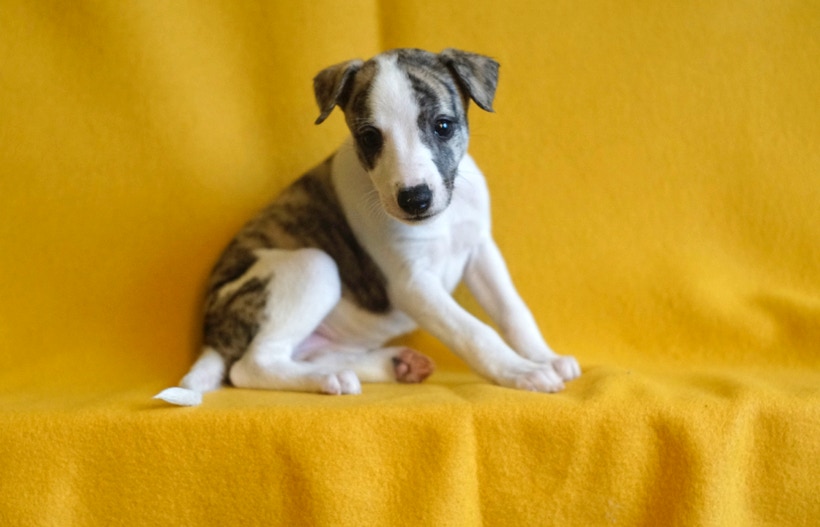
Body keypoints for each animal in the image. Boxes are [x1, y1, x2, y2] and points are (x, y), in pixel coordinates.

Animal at [155, 48, 581, 406]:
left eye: (443, 125)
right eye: (370, 137)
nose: (415, 199)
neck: (441, 220)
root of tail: (212, 336)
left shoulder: (479, 249)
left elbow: (513, 311)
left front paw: (545, 357)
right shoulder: (413, 285)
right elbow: (474, 330)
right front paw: (523, 371)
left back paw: (390, 365)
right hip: (314, 266)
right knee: (251, 366)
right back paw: (328, 380)